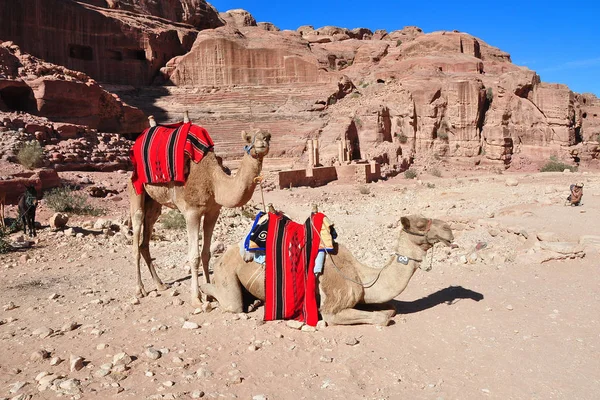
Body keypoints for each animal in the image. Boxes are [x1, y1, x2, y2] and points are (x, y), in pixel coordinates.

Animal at [130, 115, 274, 306]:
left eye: (268, 136)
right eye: (249, 137)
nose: (263, 141)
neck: (214, 182)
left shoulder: (213, 211)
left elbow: (206, 254)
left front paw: (208, 293)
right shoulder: (192, 212)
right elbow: (194, 256)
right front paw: (196, 298)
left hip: (154, 202)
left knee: (146, 237)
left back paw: (160, 285)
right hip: (136, 188)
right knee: (136, 233)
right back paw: (140, 290)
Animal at [202, 214, 454, 324]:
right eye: (420, 224)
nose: (449, 229)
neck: (361, 274)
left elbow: (390, 308)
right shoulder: (333, 309)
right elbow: (383, 318)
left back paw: (255, 302)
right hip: (227, 269)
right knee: (231, 302)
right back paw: (205, 293)